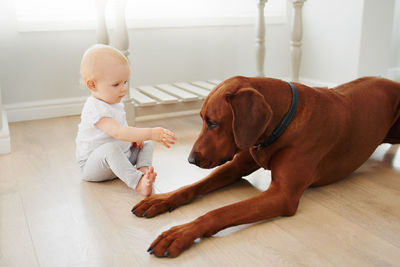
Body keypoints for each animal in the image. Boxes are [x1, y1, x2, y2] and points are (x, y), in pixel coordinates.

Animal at [132, 75, 400, 258]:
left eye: (213, 123)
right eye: (203, 120)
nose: (191, 160)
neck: (281, 124)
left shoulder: (282, 195)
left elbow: (219, 212)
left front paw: (180, 232)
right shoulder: (236, 165)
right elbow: (192, 186)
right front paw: (161, 199)